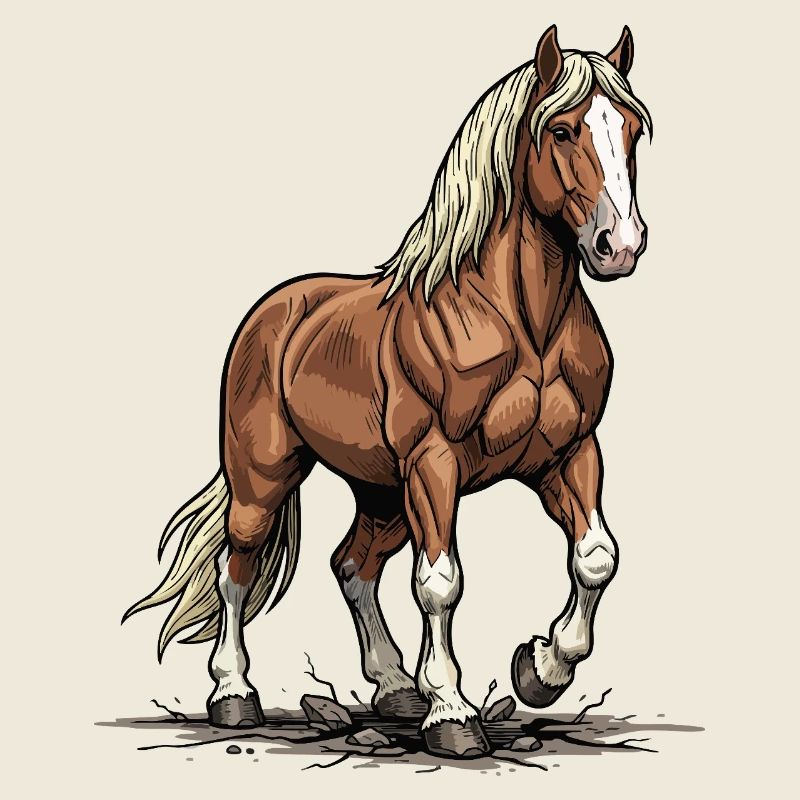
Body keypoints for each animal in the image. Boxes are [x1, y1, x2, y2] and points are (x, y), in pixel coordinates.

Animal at [125, 24, 652, 759]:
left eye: (631, 129)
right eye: (564, 129)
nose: (619, 245)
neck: (521, 322)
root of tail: (274, 311)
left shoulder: (568, 455)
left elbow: (597, 558)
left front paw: (541, 669)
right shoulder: (435, 465)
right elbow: (440, 584)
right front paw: (453, 715)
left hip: (381, 491)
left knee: (352, 564)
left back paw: (396, 686)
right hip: (266, 476)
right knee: (238, 567)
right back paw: (234, 694)